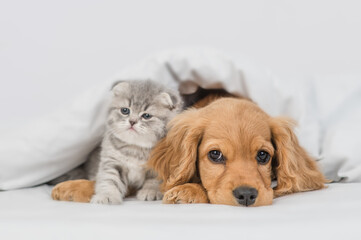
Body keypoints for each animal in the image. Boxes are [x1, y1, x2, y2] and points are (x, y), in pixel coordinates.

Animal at [50, 80, 183, 204]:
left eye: (146, 116)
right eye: (125, 110)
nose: (132, 121)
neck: (135, 148)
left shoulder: (159, 164)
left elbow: (154, 181)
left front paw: (150, 191)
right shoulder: (112, 162)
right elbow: (110, 180)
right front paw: (106, 196)